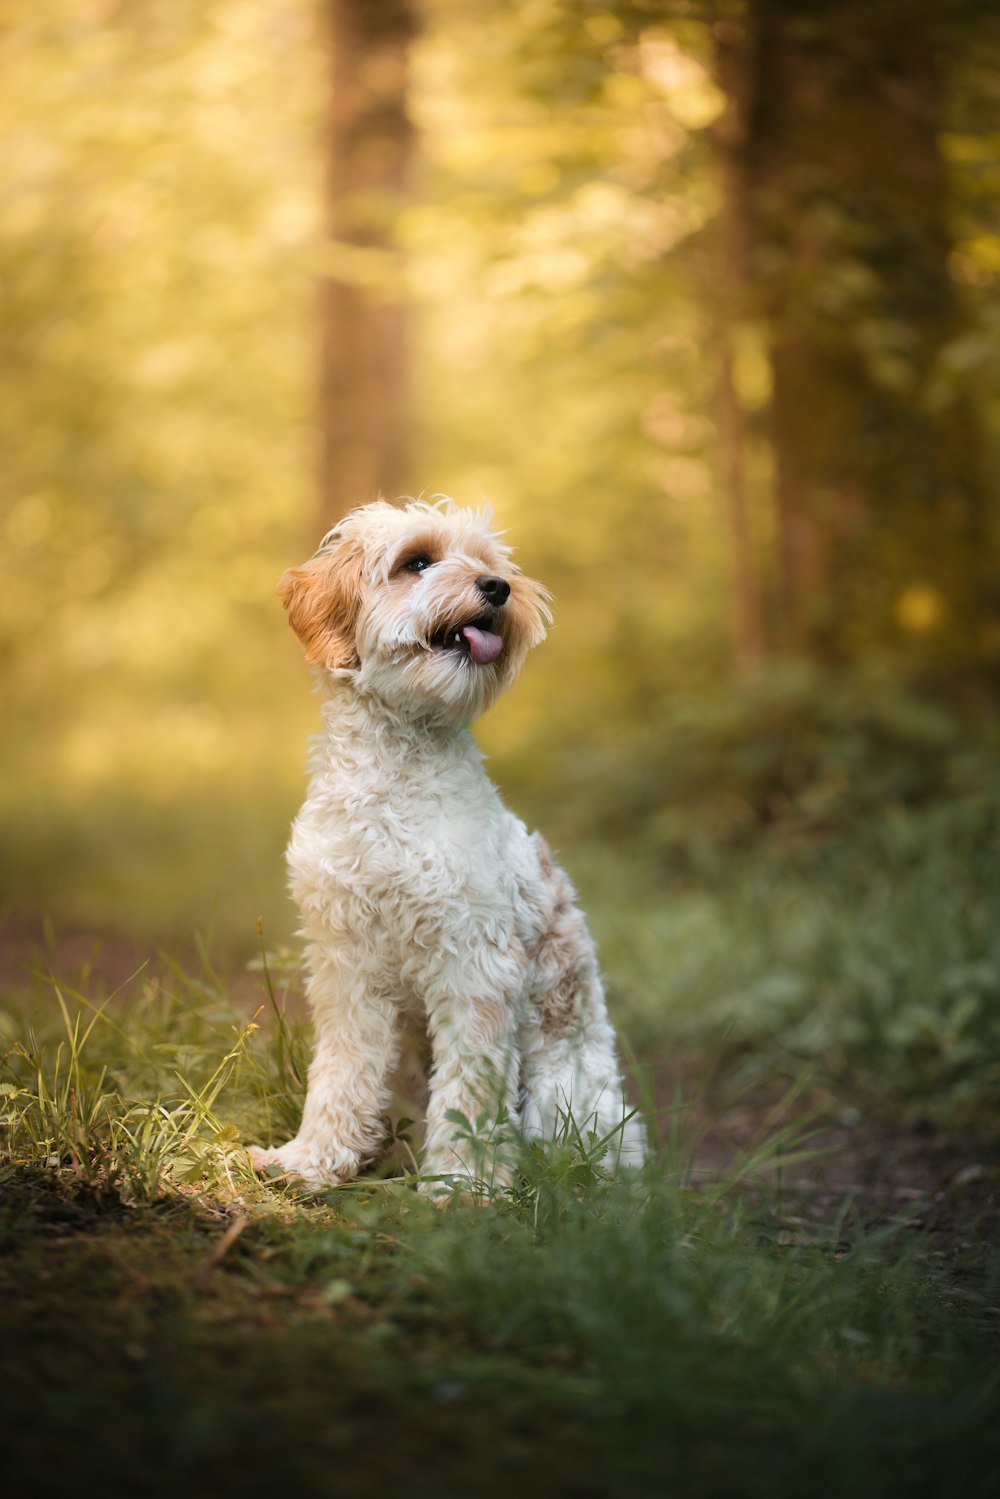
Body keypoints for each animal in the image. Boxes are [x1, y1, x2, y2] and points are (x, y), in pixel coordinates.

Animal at [245, 503, 644, 1193]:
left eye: (489, 563)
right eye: (418, 561)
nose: (498, 588)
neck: (394, 776)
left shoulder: (474, 962)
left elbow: (469, 1092)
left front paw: (461, 1185)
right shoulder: (347, 965)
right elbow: (340, 1072)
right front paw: (311, 1159)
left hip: (564, 1099)